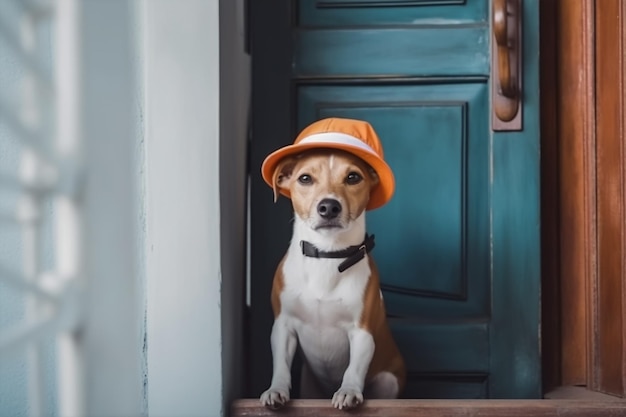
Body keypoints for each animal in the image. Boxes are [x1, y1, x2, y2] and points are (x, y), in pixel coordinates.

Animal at [258, 118, 404, 410]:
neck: (326, 255)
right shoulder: (283, 326)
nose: (329, 206)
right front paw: (276, 390)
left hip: (388, 380)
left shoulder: (362, 332)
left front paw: (348, 391)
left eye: (353, 177)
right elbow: (281, 365)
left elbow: (353, 368)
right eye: (305, 178)